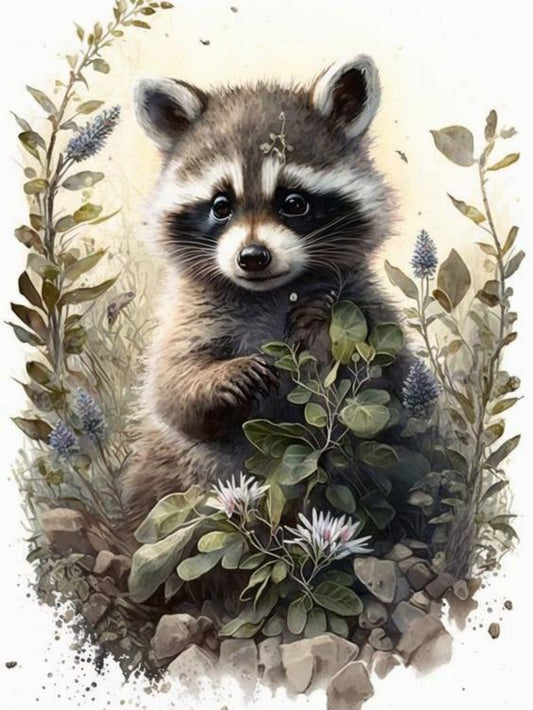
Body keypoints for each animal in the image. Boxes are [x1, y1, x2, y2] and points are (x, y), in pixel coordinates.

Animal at [122, 55, 407, 530]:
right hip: (160, 472)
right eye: (221, 206)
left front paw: (320, 328)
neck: (272, 292)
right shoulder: (190, 313)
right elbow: (171, 390)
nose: (252, 257)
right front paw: (218, 377)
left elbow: (382, 382)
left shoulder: (364, 301)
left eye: (294, 203)